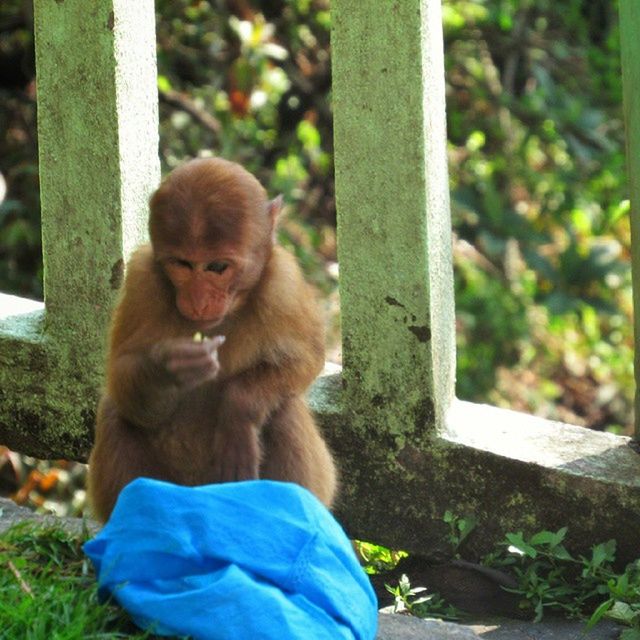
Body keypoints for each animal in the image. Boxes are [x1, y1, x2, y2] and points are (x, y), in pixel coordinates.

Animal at [87, 158, 338, 524]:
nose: (198, 300)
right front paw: (169, 366)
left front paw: (238, 410)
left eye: (217, 267)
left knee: (284, 411)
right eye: (182, 264)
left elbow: (307, 358)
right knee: (117, 413)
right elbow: (120, 373)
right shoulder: (142, 279)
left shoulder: (284, 284)